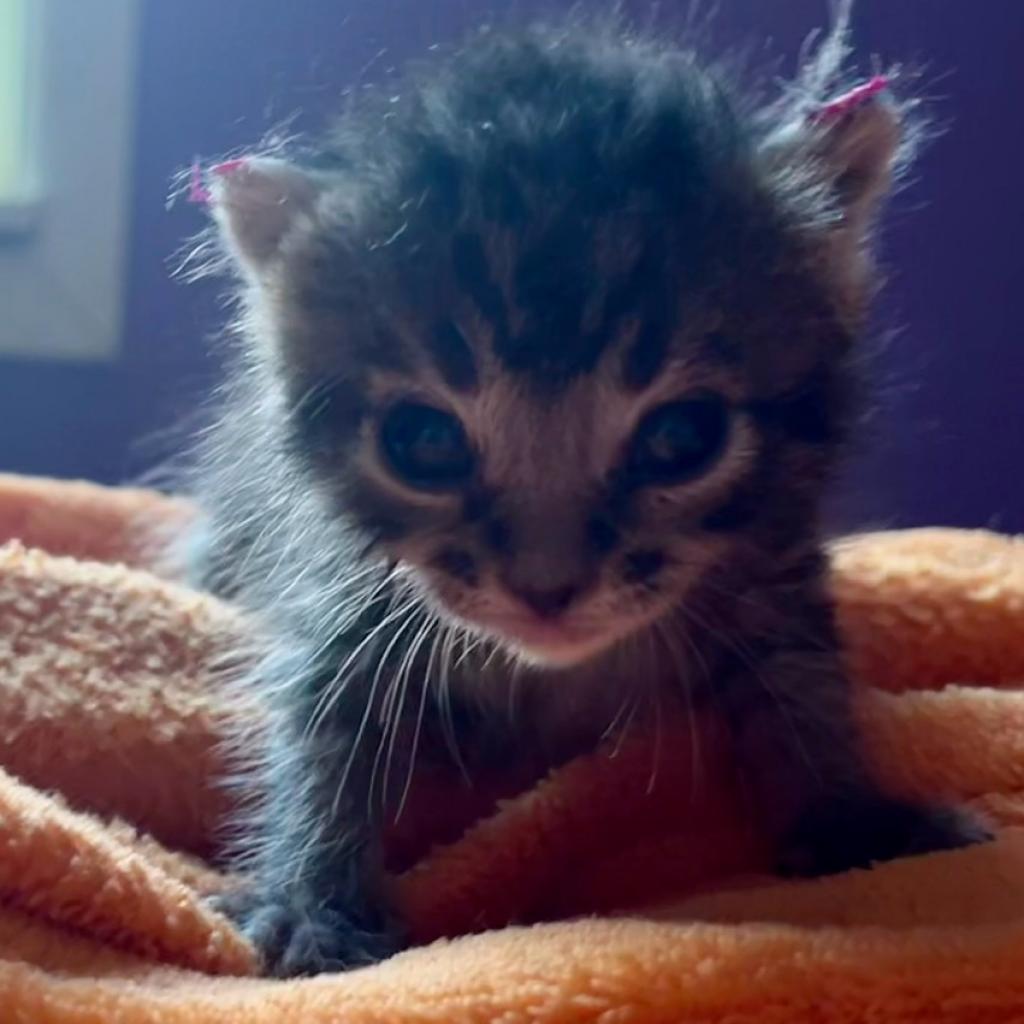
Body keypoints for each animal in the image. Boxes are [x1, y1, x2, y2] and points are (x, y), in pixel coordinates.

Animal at [186, 18, 991, 974]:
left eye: (681, 437)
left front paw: (852, 821)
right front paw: (310, 897)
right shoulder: (340, 590)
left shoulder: (772, 569)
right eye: (425, 442)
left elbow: (805, 683)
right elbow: (316, 730)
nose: (547, 587)